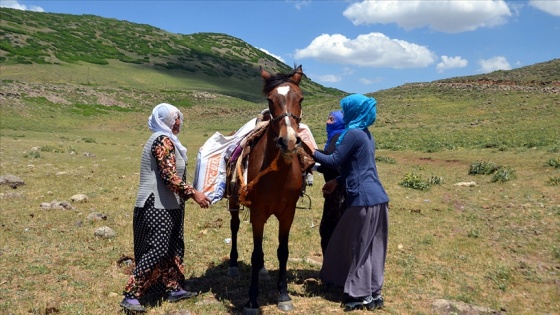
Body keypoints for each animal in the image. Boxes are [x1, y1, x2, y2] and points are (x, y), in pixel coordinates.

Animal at [226, 65, 306, 314]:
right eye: (270, 100)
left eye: (301, 98)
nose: (288, 141)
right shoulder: (258, 212)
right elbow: (256, 253)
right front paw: (252, 300)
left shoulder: (288, 212)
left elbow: (282, 251)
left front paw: (283, 295)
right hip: (234, 202)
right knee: (234, 227)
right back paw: (233, 265)